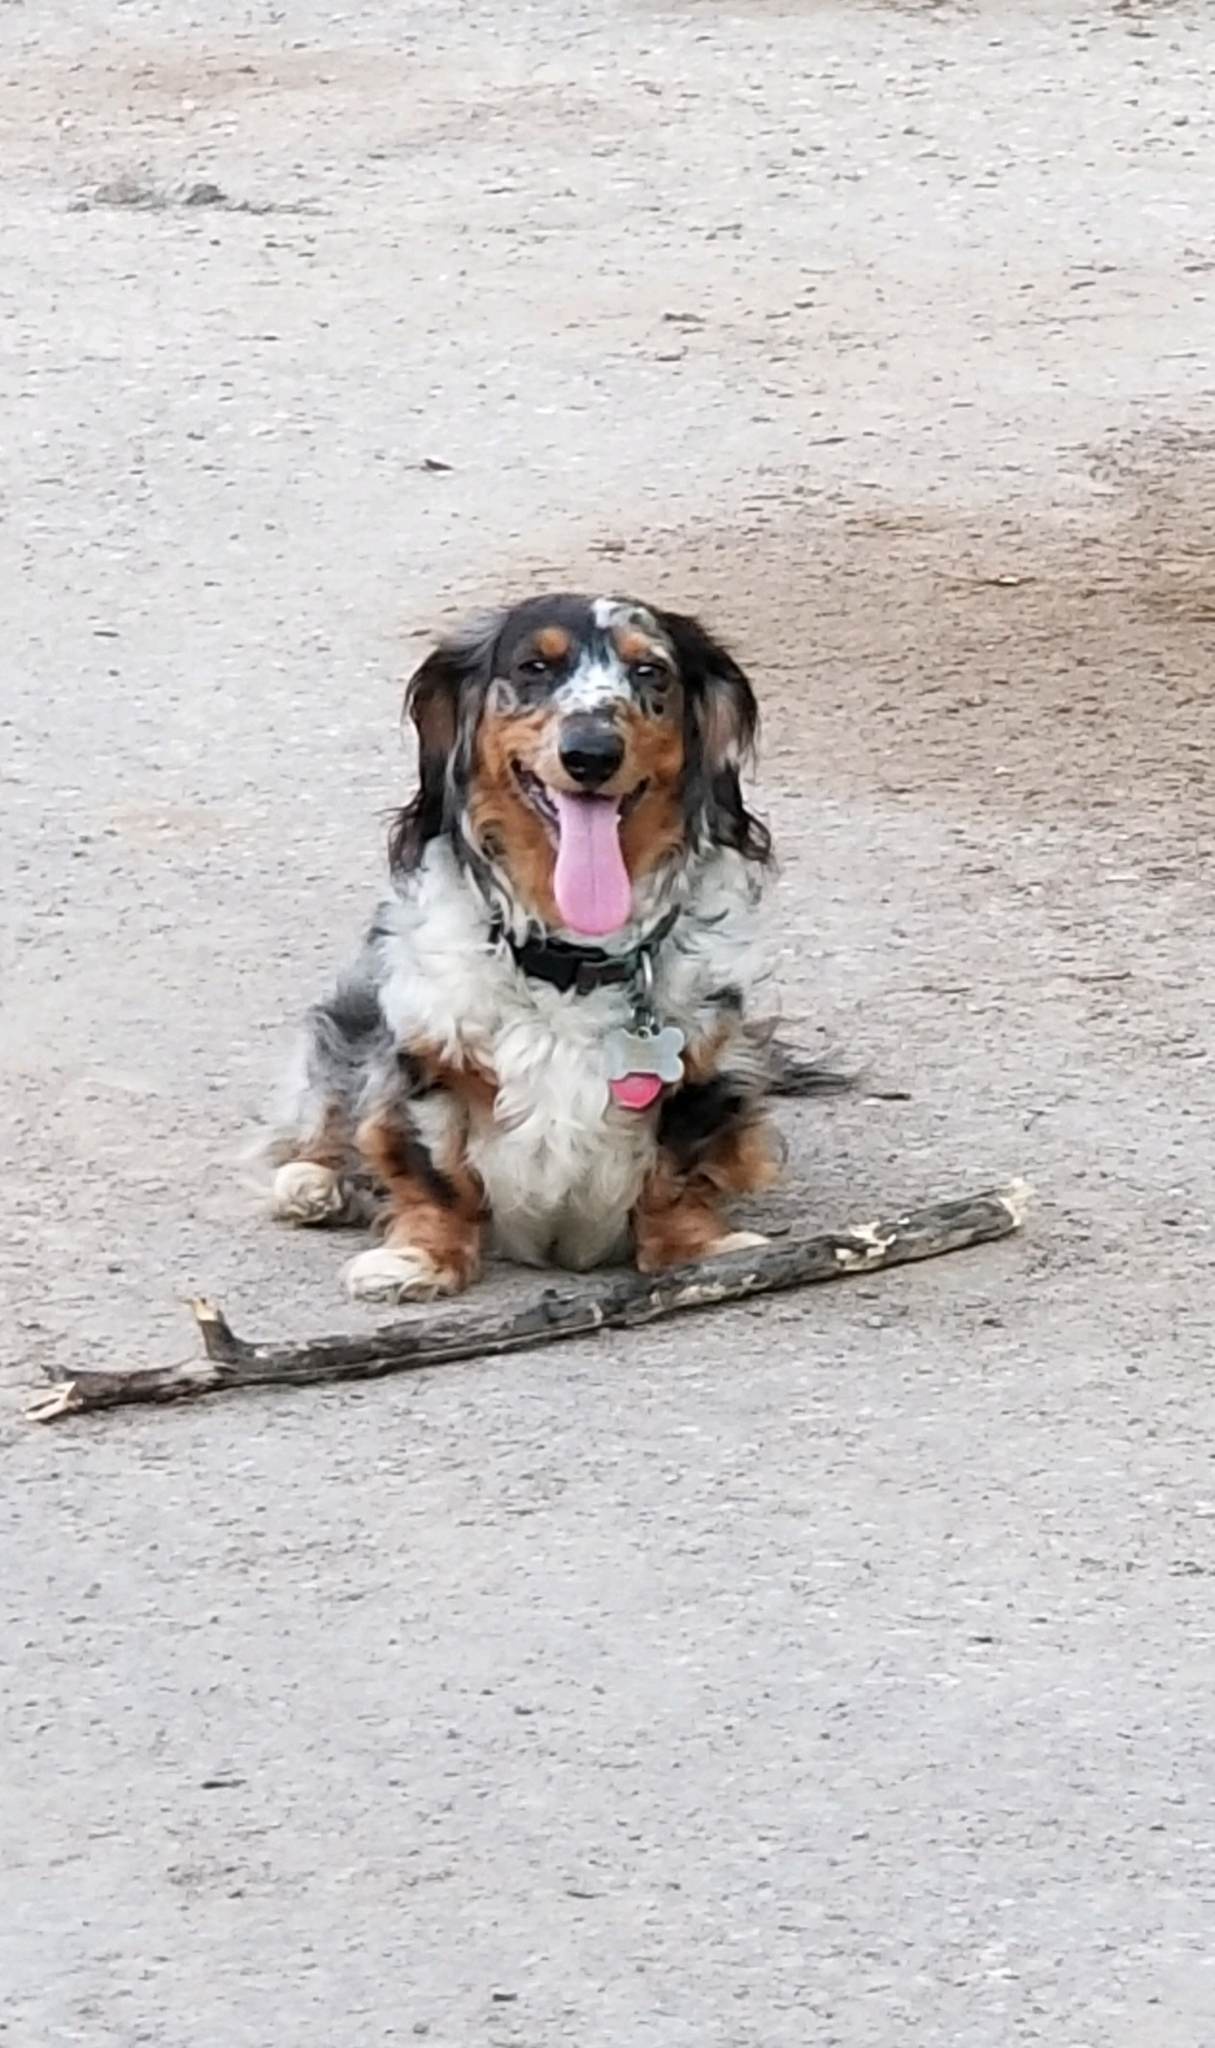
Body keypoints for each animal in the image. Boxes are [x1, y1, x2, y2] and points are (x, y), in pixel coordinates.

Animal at [263, 593, 790, 1303]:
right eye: (535, 666)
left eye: (650, 672)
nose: (591, 752)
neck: (571, 961)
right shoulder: (423, 1061)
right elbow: (435, 1176)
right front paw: (421, 1259)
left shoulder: (708, 1068)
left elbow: (675, 1175)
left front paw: (700, 1251)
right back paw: (312, 1180)